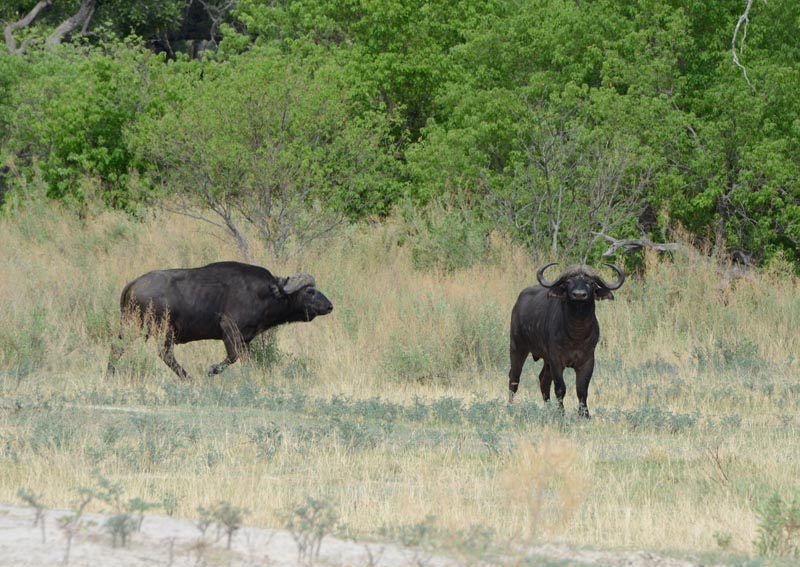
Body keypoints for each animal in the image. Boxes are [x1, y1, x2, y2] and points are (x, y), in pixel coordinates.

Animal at [106, 261, 333, 380]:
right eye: (310, 292)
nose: (330, 306)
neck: (265, 293)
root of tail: (133, 284)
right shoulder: (229, 330)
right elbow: (233, 357)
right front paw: (211, 370)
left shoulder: (245, 339)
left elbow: (244, 359)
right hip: (162, 330)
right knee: (165, 354)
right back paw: (188, 378)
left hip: (131, 327)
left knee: (117, 347)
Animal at [507, 262, 625, 418]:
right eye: (569, 282)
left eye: (591, 283)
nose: (579, 295)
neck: (576, 334)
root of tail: (518, 303)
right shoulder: (556, 360)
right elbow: (560, 388)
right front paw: (561, 412)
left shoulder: (588, 361)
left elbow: (582, 389)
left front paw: (584, 414)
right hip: (517, 347)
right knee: (514, 377)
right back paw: (510, 405)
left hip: (546, 360)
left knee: (543, 379)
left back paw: (548, 408)